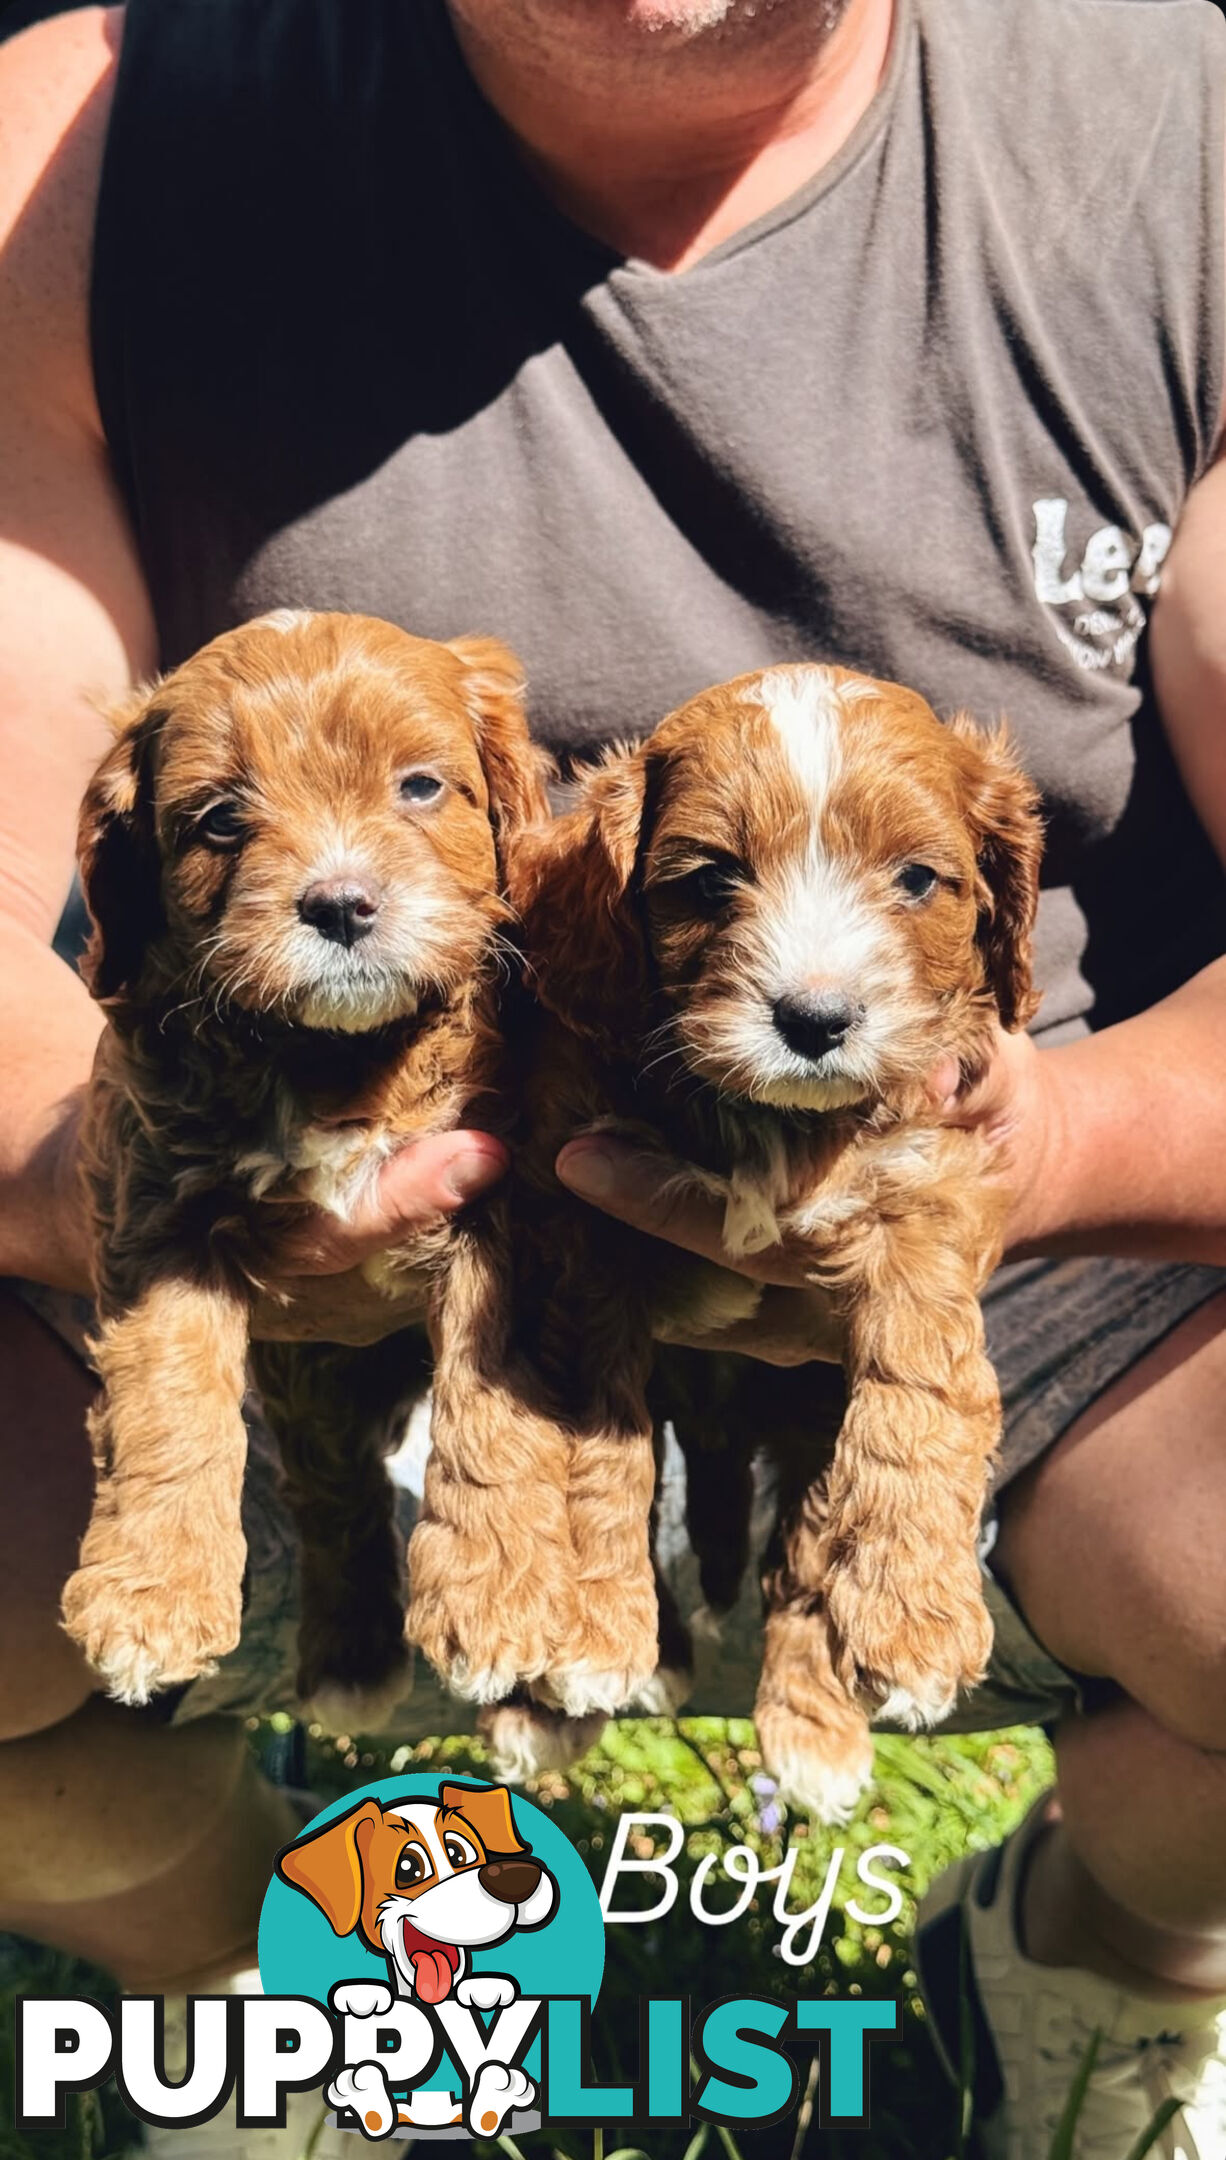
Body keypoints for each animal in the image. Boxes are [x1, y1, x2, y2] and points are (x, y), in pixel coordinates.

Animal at [63, 613, 546, 1719]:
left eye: (421, 786)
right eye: (219, 820)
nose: (339, 904)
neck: (334, 1055)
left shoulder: (503, 1195)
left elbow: (497, 1400)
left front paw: (498, 1600)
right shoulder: (159, 1204)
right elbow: (169, 1401)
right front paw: (152, 1598)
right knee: (331, 1484)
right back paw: (352, 1654)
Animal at [414, 660, 1044, 1823]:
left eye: (918, 880)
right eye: (710, 882)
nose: (815, 1020)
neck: (770, 1123)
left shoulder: (928, 1190)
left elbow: (923, 1393)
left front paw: (915, 1616)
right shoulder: (579, 1216)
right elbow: (597, 1439)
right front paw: (597, 1636)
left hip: (803, 1410)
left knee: (800, 1548)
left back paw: (815, 1730)